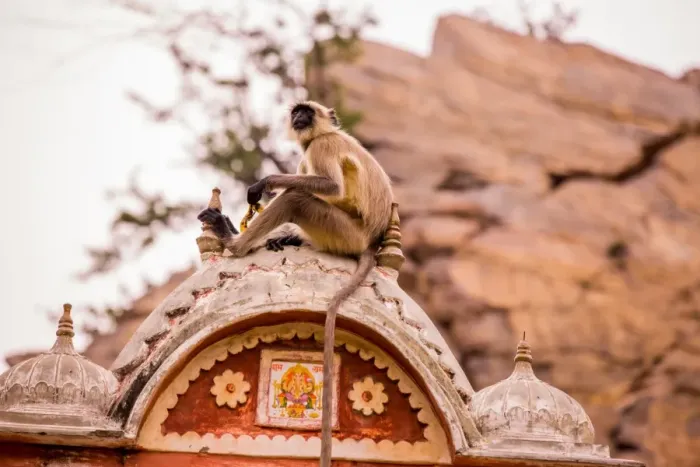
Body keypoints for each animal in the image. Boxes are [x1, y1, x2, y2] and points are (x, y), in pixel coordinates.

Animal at [198, 100, 393, 467]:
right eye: (296, 113)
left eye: (308, 112)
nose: (300, 118)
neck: (323, 133)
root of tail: (369, 244)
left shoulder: (322, 146)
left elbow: (330, 187)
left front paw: (265, 183)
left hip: (341, 231)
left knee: (296, 197)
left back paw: (234, 242)